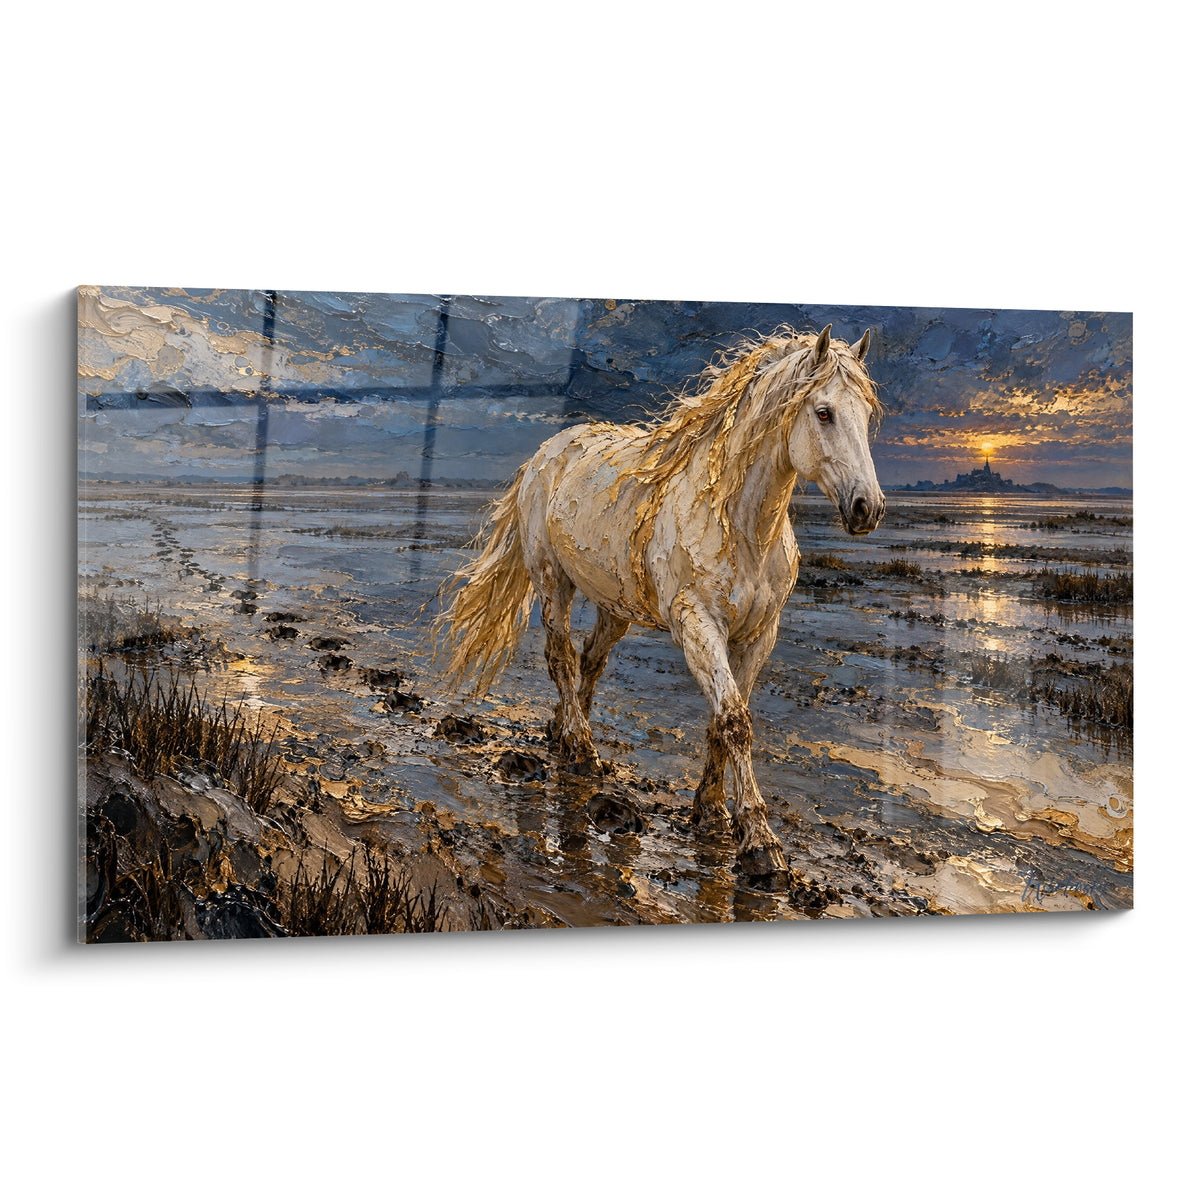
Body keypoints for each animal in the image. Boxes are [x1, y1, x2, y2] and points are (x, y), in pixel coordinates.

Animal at [433, 325, 885, 882]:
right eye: (824, 412)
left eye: (866, 413)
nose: (868, 508)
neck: (741, 527)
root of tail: (546, 451)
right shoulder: (697, 625)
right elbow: (734, 720)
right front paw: (760, 843)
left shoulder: (759, 636)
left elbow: (722, 720)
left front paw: (710, 811)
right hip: (553, 582)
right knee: (560, 657)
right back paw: (581, 749)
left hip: (614, 606)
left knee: (589, 662)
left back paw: (562, 733)